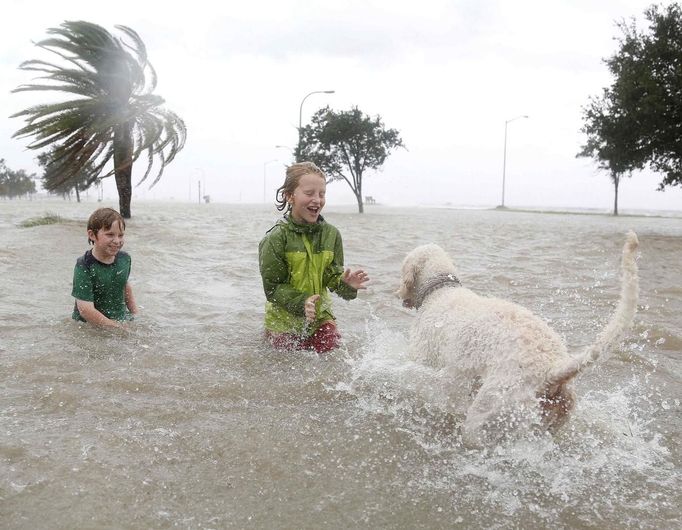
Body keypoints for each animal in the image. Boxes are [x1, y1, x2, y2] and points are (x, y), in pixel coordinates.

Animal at [396, 231, 640, 446]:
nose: (397, 294)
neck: (440, 290)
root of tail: (553, 370)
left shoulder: (422, 358)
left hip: (489, 410)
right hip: (549, 423)